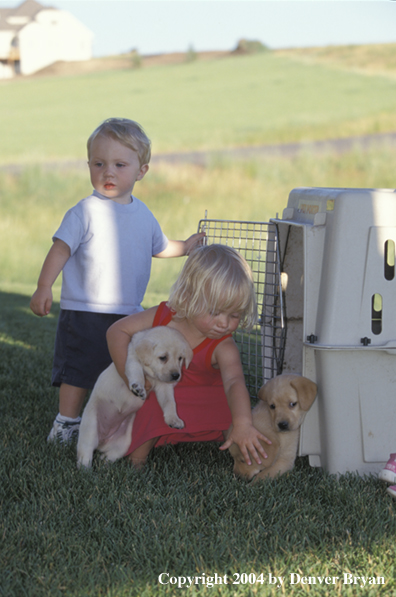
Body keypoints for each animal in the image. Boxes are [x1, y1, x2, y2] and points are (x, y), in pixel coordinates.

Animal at [76, 326, 193, 470]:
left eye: (180, 358)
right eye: (163, 357)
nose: (176, 375)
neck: (152, 375)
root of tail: (103, 440)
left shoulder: (165, 387)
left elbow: (170, 402)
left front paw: (174, 420)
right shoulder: (132, 360)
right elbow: (136, 373)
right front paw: (138, 388)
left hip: (123, 445)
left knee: (108, 456)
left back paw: (105, 466)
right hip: (90, 429)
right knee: (85, 452)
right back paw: (85, 470)